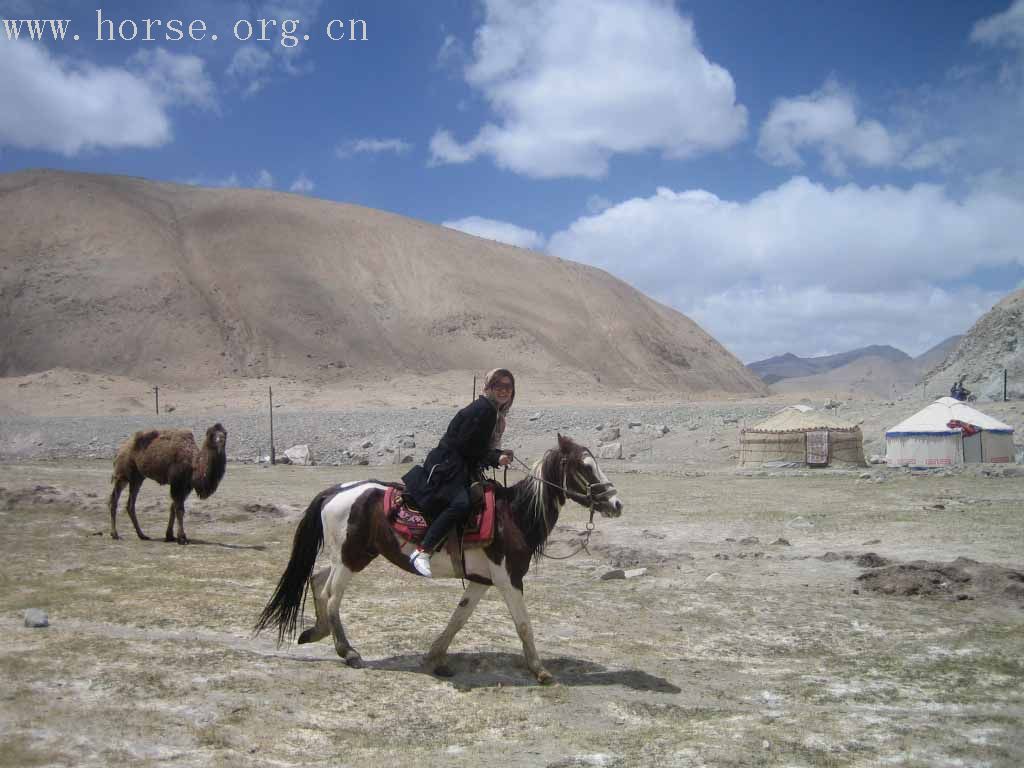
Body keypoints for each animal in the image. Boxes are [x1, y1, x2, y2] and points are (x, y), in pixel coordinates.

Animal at [256, 436, 622, 684]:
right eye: (585, 467)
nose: (616, 504)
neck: (514, 516)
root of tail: (337, 491)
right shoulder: (509, 579)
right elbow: (523, 625)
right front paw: (541, 671)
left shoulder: (482, 581)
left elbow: (458, 619)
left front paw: (434, 657)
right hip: (351, 558)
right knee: (331, 595)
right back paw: (348, 652)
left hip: (348, 555)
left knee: (317, 580)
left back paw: (315, 632)